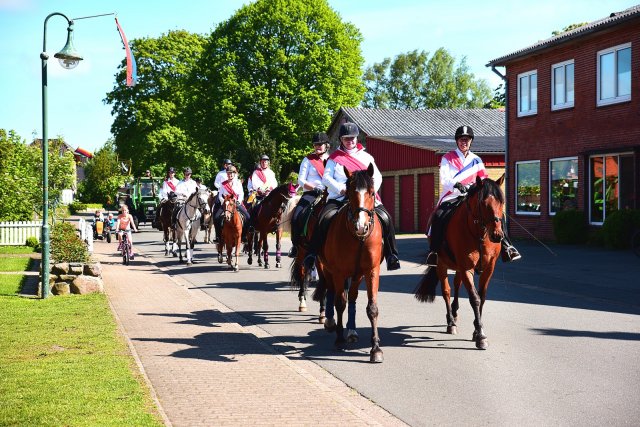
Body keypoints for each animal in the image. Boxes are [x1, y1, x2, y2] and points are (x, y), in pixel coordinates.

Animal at [312, 166, 382, 362]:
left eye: (372, 192)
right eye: (350, 193)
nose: (361, 226)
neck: (358, 239)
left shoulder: (371, 270)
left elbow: (372, 308)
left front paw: (375, 349)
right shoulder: (338, 272)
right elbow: (339, 303)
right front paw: (339, 339)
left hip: (357, 275)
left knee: (352, 296)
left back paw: (351, 331)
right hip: (325, 268)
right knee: (331, 291)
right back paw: (330, 322)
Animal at [416, 175, 504, 352]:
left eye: (501, 202)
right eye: (484, 203)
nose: (497, 235)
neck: (479, 233)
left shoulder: (488, 268)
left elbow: (482, 297)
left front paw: (477, 329)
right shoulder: (466, 268)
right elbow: (475, 298)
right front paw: (480, 335)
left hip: (457, 267)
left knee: (457, 284)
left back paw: (455, 314)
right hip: (442, 265)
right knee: (447, 291)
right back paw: (451, 322)